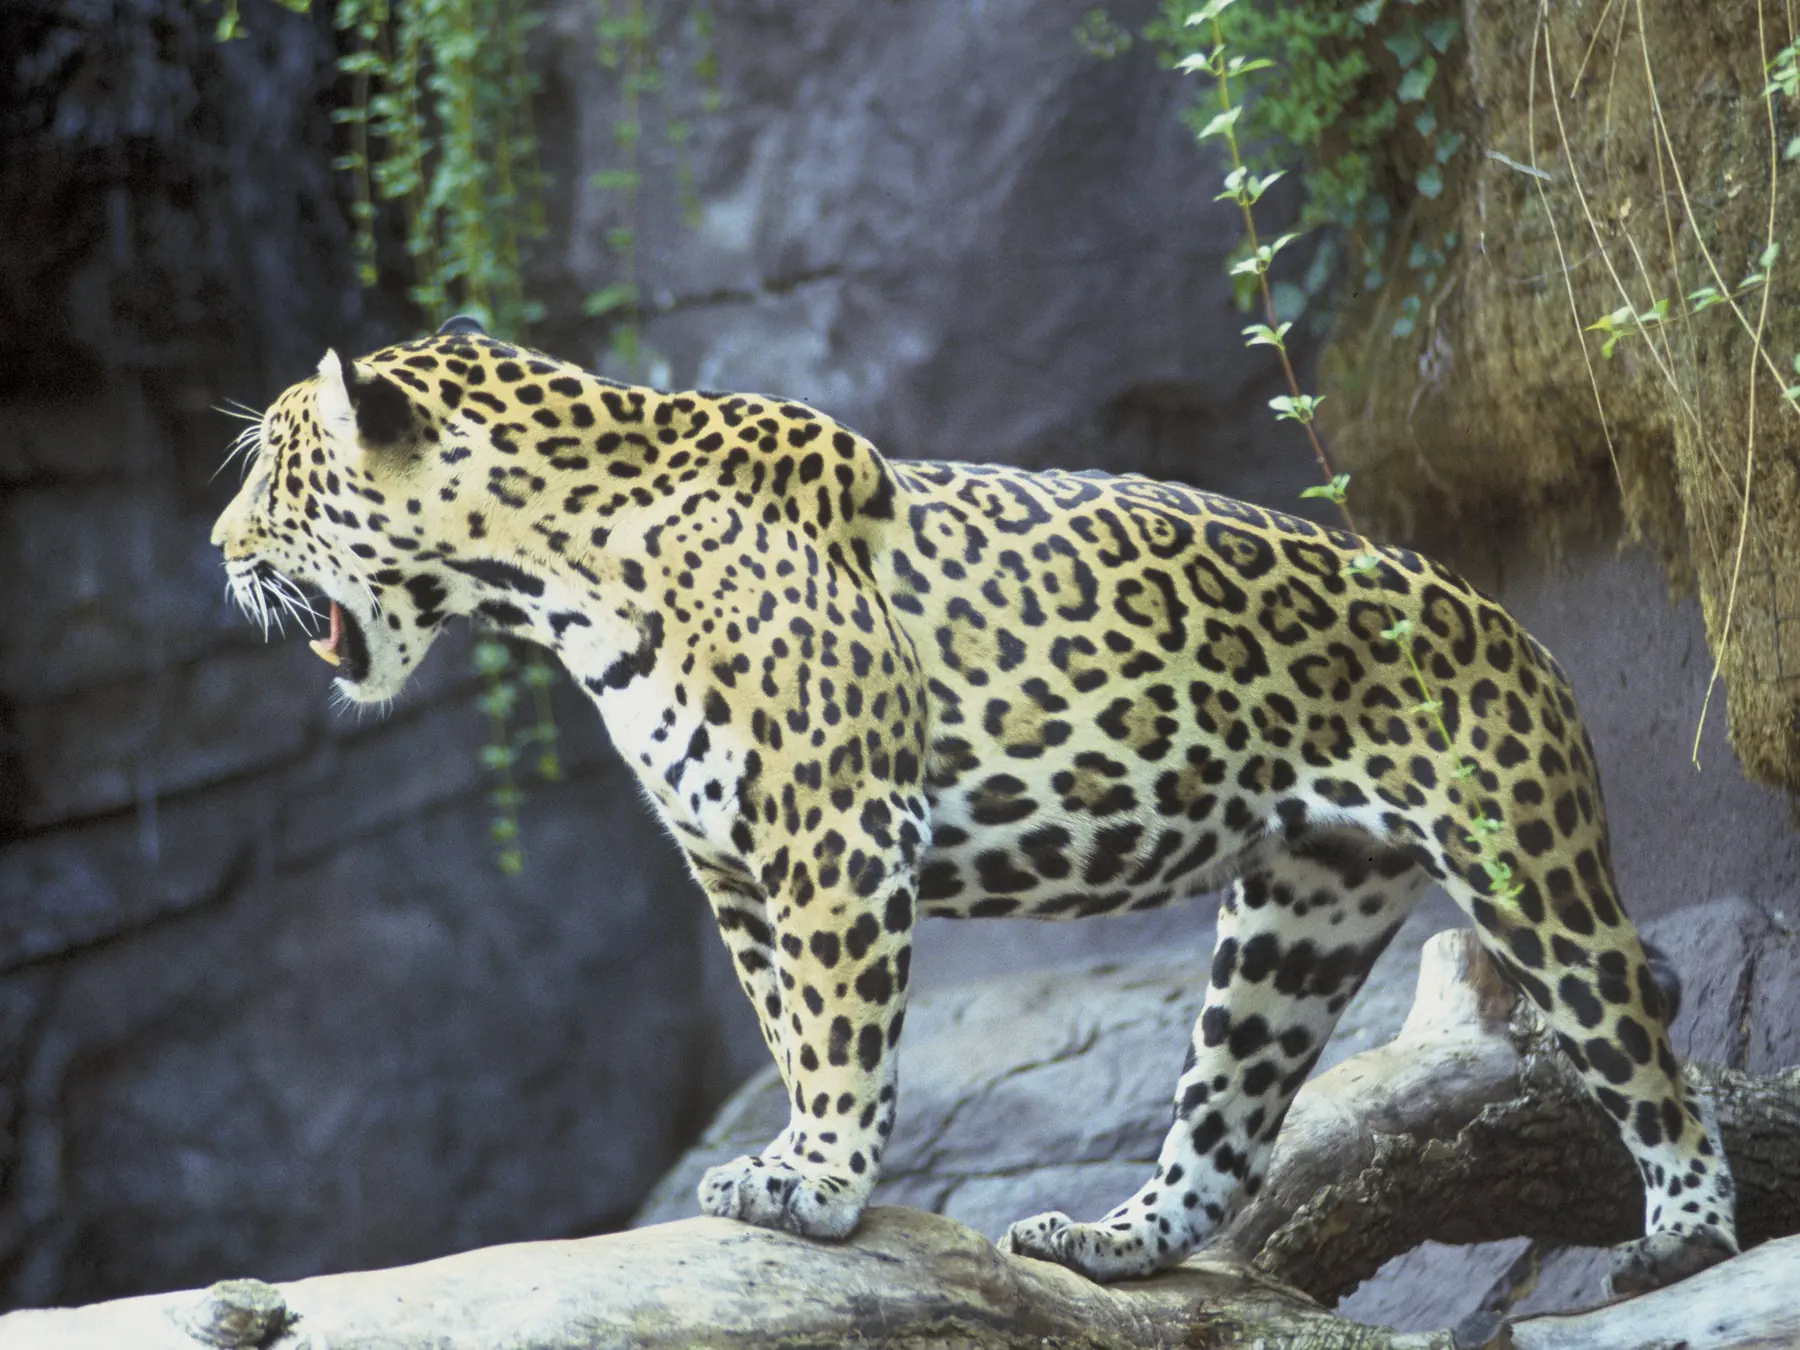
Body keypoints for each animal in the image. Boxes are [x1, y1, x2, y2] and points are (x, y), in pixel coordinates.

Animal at [211, 316, 1737, 1295]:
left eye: (274, 468)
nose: (215, 549)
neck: (548, 571)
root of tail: (1508, 618)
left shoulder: (833, 830)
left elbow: (839, 1027)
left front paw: (819, 1181)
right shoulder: (731, 863)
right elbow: (786, 1024)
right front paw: (801, 1162)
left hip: (1524, 863)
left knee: (1639, 1043)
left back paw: (1686, 1232)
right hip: (1297, 916)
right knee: (1228, 1130)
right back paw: (1111, 1243)